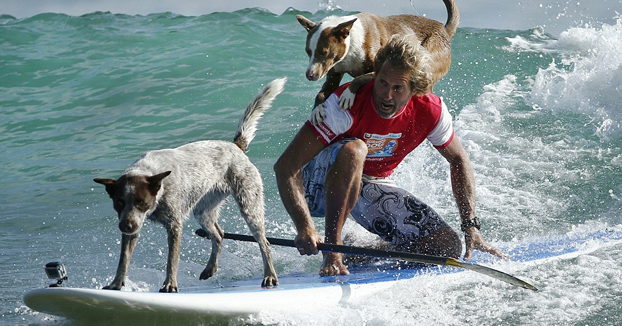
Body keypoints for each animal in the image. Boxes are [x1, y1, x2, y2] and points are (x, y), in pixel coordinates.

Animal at [93, 77, 288, 292]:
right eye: (119, 203)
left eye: (141, 203)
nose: (125, 226)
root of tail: (236, 146)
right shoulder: (134, 227)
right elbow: (123, 259)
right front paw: (116, 283)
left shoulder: (174, 225)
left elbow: (171, 260)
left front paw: (170, 284)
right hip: (203, 211)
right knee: (219, 235)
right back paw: (210, 269)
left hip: (249, 206)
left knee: (264, 243)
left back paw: (270, 275)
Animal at [300, 0, 460, 107]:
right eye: (308, 51)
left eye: (324, 52)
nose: (309, 75)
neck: (351, 43)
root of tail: (444, 29)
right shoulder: (335, 71)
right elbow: (321, 94)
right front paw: (318, 111)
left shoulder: (379, 70)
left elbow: (361, 78)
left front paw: (348, 93)